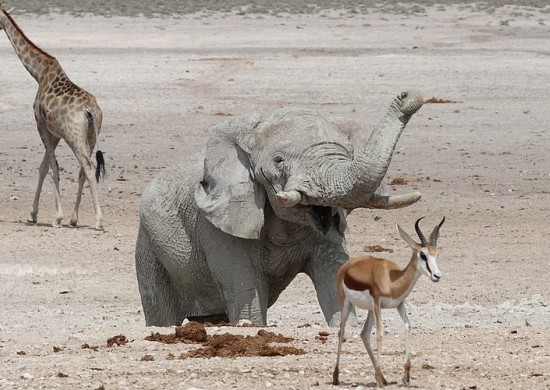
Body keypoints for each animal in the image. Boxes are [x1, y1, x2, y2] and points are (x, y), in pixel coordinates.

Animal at [0, 6, 106, 230]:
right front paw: (32, 214)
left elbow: (52, 168)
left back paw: (98, 220)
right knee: (83, 170)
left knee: (88, 167)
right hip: (91, 136)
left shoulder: (41, 126)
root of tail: (89, 110)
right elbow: (44, 167)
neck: (39, 73)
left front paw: (56, 217)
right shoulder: (55, 134)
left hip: (74, 137)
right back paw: (74, 219)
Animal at [136, 90, 424, 326]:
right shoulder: (218, 225)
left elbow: (333, 272)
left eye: (351, 153)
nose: (409, 96)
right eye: (278, 160)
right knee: (160, 311)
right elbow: (246, 290)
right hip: (148, 248)